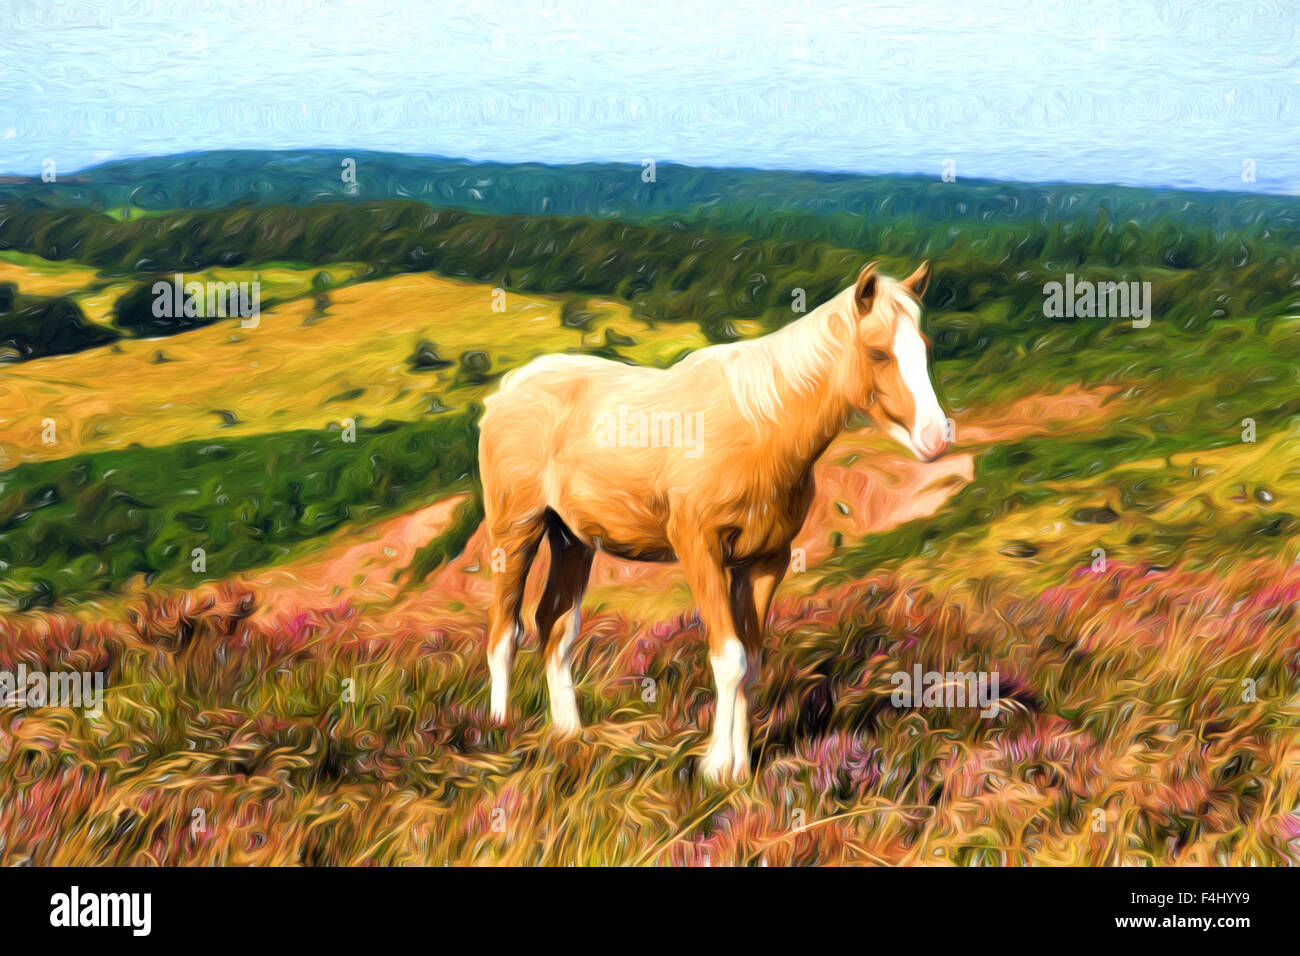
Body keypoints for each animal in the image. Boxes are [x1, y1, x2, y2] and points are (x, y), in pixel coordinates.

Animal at [477, 261, 948, 782]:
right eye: (878, 352)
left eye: (925, 347)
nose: (936, 437)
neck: (761, 423)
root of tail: (507, 390)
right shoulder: (699, 550)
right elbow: (730, 659)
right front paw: (717, 768)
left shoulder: (763, 563)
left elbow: (752, 662)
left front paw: (737, 768)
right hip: (516, 531)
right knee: (504, 628)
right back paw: (500, 730)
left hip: (572, 541)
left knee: (555, 628)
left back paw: (568, 735)